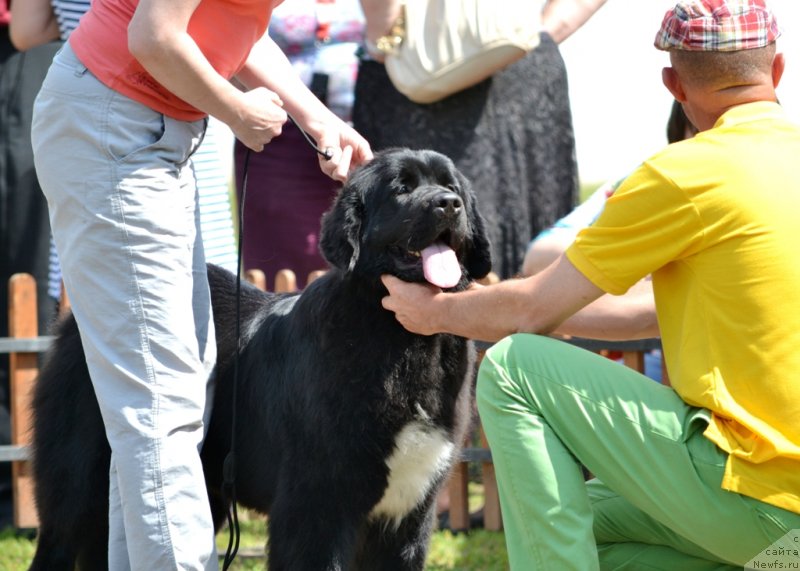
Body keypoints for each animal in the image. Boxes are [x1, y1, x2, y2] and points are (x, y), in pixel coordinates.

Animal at [28, 149, 490, 571]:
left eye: (451, 186)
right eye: (401, 189)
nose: (448, 204)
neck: (401, 339)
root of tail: (75, 317)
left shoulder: (408, 511)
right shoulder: (318, 502)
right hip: (82, 480)